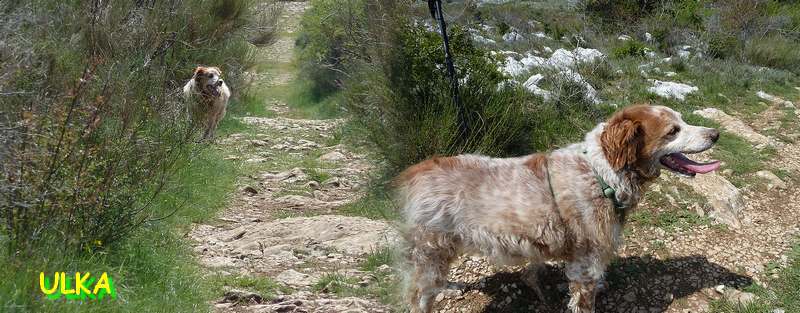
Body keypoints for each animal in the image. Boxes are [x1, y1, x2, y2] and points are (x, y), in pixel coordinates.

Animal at [396, 105, 720, 312]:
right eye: (673, 130)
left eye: (683, 120)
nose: (715, 134)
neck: (602, 175)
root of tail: (413, 173)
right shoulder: (585, 264)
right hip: (430, 253)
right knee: (418, 296)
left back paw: (449, 287)